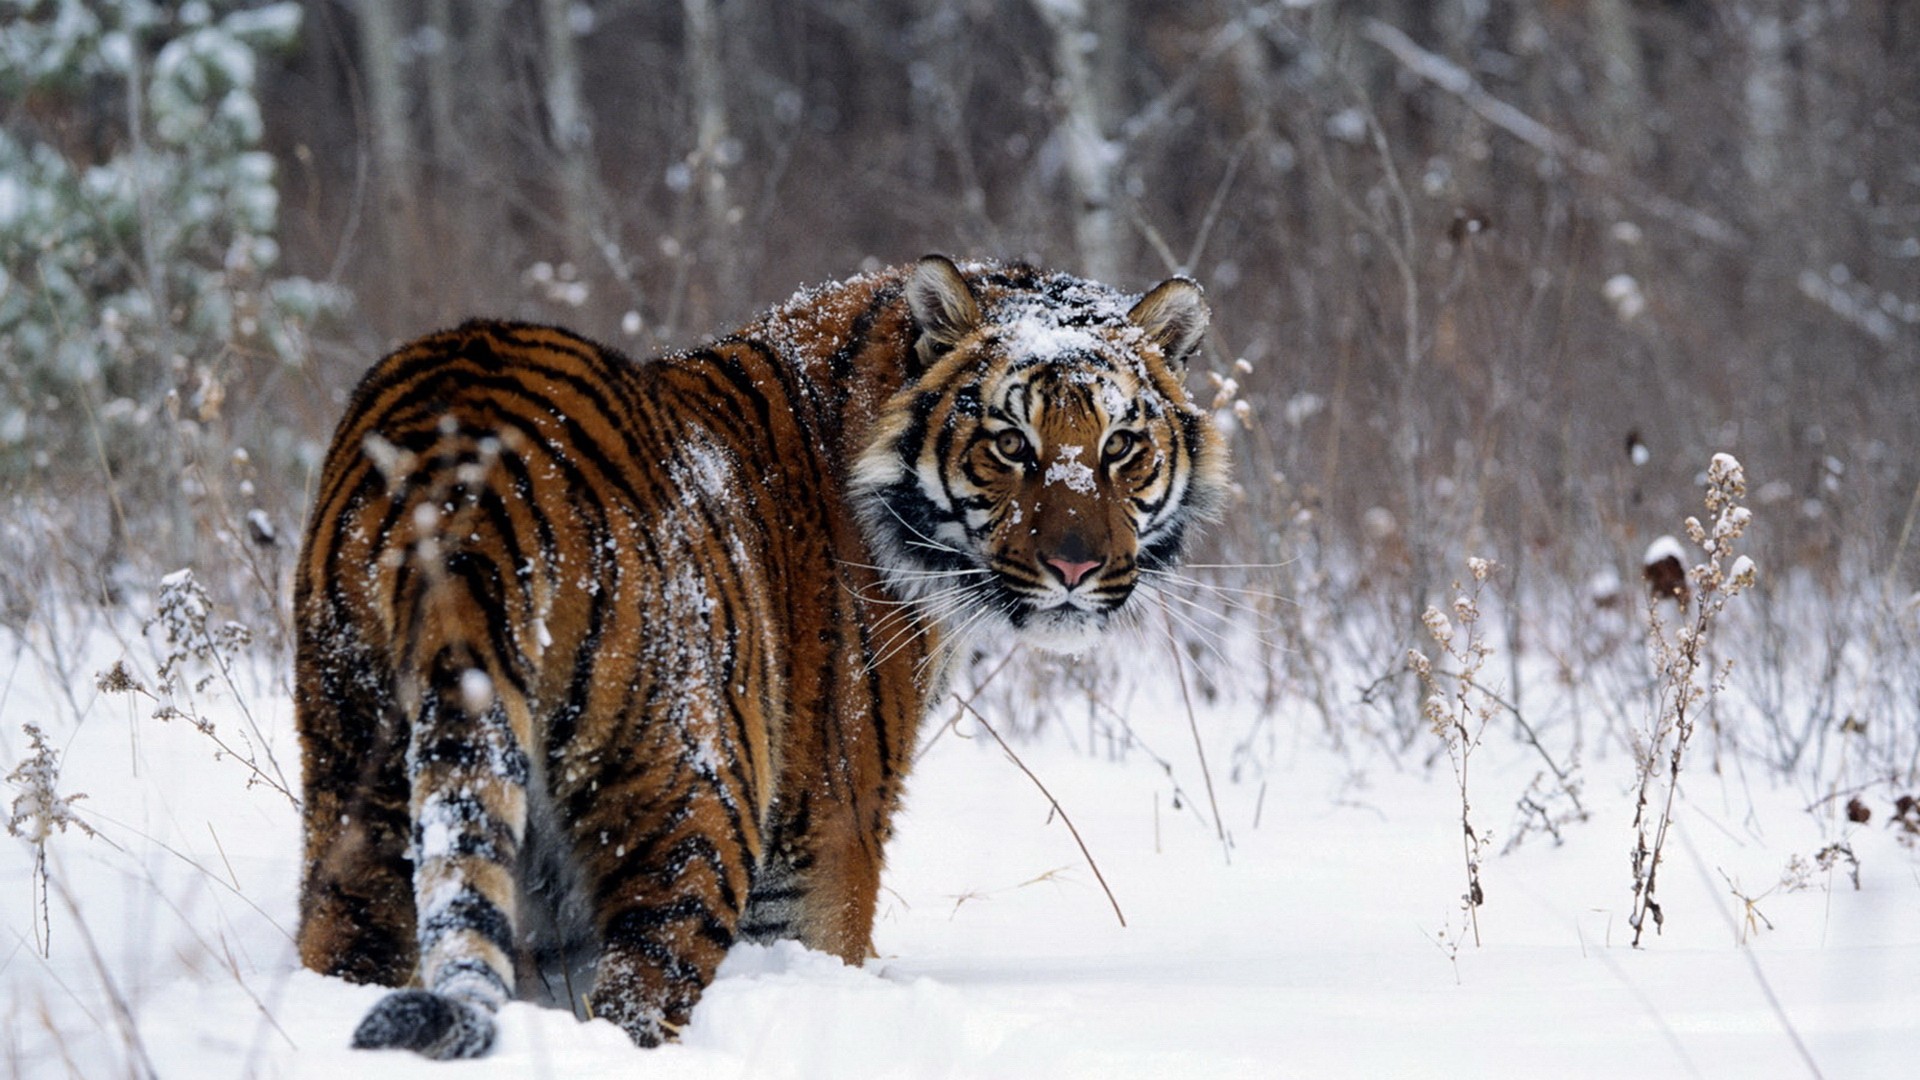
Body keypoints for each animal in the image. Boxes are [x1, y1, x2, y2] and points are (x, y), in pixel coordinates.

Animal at [293, 255, 1228, 1058]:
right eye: (1009, 444)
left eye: (1119, 446)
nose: (1075, 568)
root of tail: (463, 475)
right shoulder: (829, 827)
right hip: (695, 802)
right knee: (638, 996)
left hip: (357, 782)